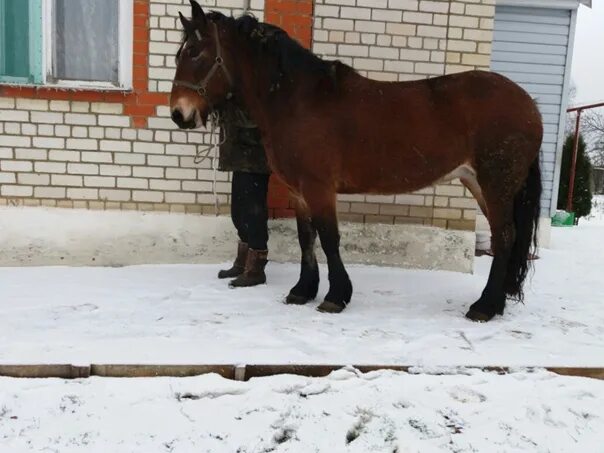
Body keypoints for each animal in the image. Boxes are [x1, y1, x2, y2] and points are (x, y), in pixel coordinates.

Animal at [170, 2, 544, 322]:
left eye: (196, 53)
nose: (179, 114)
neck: (297, 99)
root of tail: (529, 104)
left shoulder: (319, 188)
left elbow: (329, 238)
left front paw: (336, 296)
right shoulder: (298, 191)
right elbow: (307, 238)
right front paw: (302, 291)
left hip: (496, 183)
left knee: (504, 237)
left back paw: (484, 306)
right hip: (478, 182)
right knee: (504, 237)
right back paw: (494, 304)